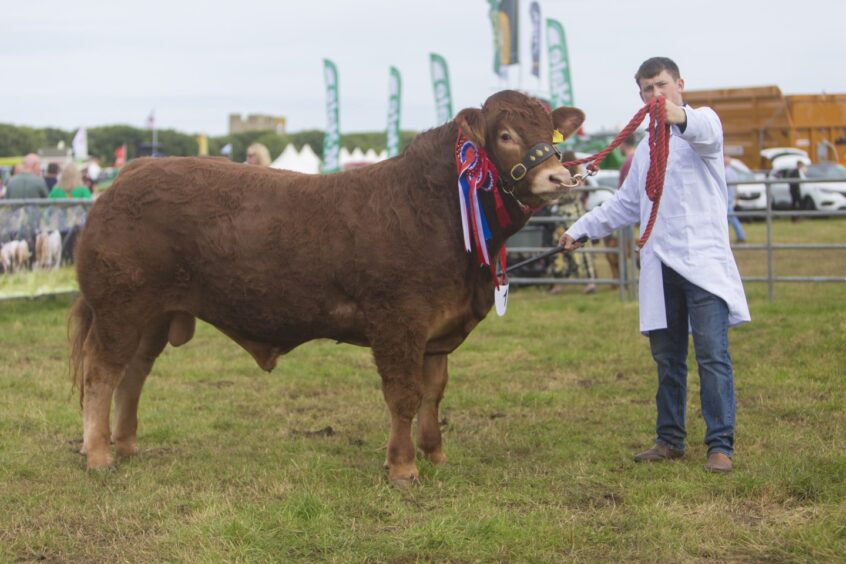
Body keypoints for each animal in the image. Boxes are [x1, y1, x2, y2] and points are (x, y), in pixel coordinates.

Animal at [71, 90, 584, 486]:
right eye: (506, 135)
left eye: (553, 133)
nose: (560, 177)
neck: (434, 208)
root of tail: (131, 173)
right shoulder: (397, 322)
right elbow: (404, 395)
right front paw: (403, 468)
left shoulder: (437, 330)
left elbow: (433, 394)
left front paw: (435, 454)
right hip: (119, 308)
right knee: (101, 374)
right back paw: (98, 455)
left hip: (153, 316)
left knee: (134, 374)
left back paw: (127, 444)